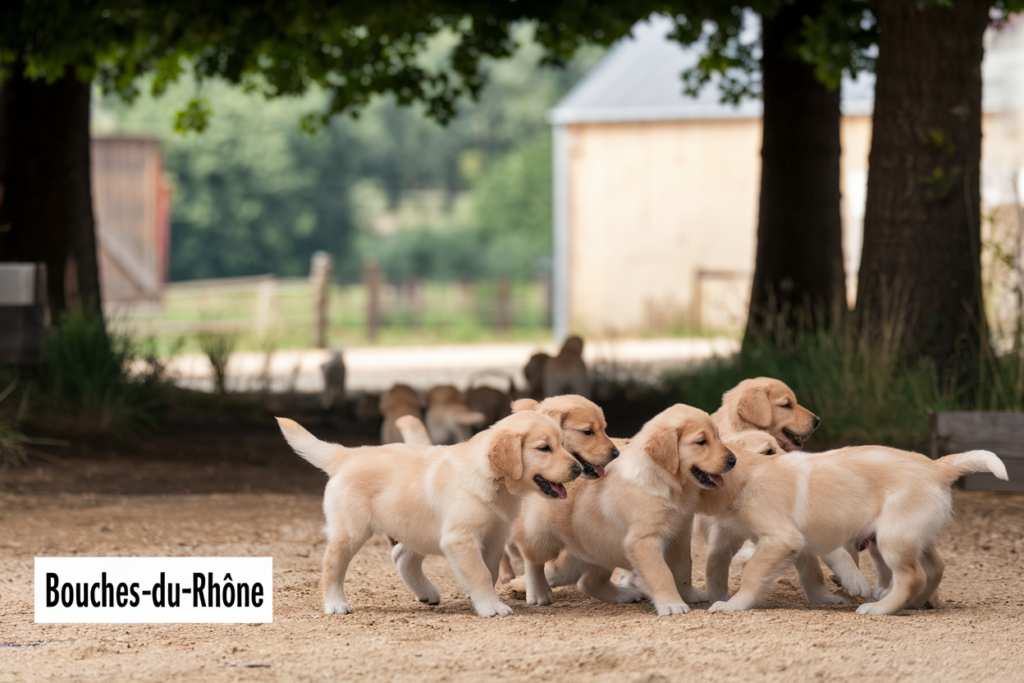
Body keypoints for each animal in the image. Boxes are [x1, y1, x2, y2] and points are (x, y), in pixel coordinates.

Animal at [278, 411, 585, 618]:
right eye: (544, 448)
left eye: (562, 444)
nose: (579, 469)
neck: (491, 480)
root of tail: (347, 455)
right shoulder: (459, 538)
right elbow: (479, 573)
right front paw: (491, 607)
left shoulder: (494, 537)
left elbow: (489, 571)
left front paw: (482, 600)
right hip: (351, 531)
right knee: (332, 564)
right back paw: (335, 604)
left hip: (416, 527)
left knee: (401, 556)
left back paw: (426, 593)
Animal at [512, 403, 737, 618]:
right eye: (701, 442)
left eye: (718, 436)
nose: (733, 460)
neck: (665, 482)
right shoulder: (644, 540)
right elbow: (661, 572)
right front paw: (672, 605)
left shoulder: (680, 534)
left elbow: (683, 568)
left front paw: (689, 595)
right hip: (542, 537)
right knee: (532, 560)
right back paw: (538, 593)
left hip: (599, 550)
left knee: (586, 582)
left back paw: (624, 594)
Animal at [696, 444, 1007, 614]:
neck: (746, 476)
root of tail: (936, 467)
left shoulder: (781, 538)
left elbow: (753, 572)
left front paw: (734, 604)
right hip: (915, 535)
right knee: (935, 569)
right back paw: (912, 604)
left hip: (892, 538)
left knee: (912, 576)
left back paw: (881, 608)